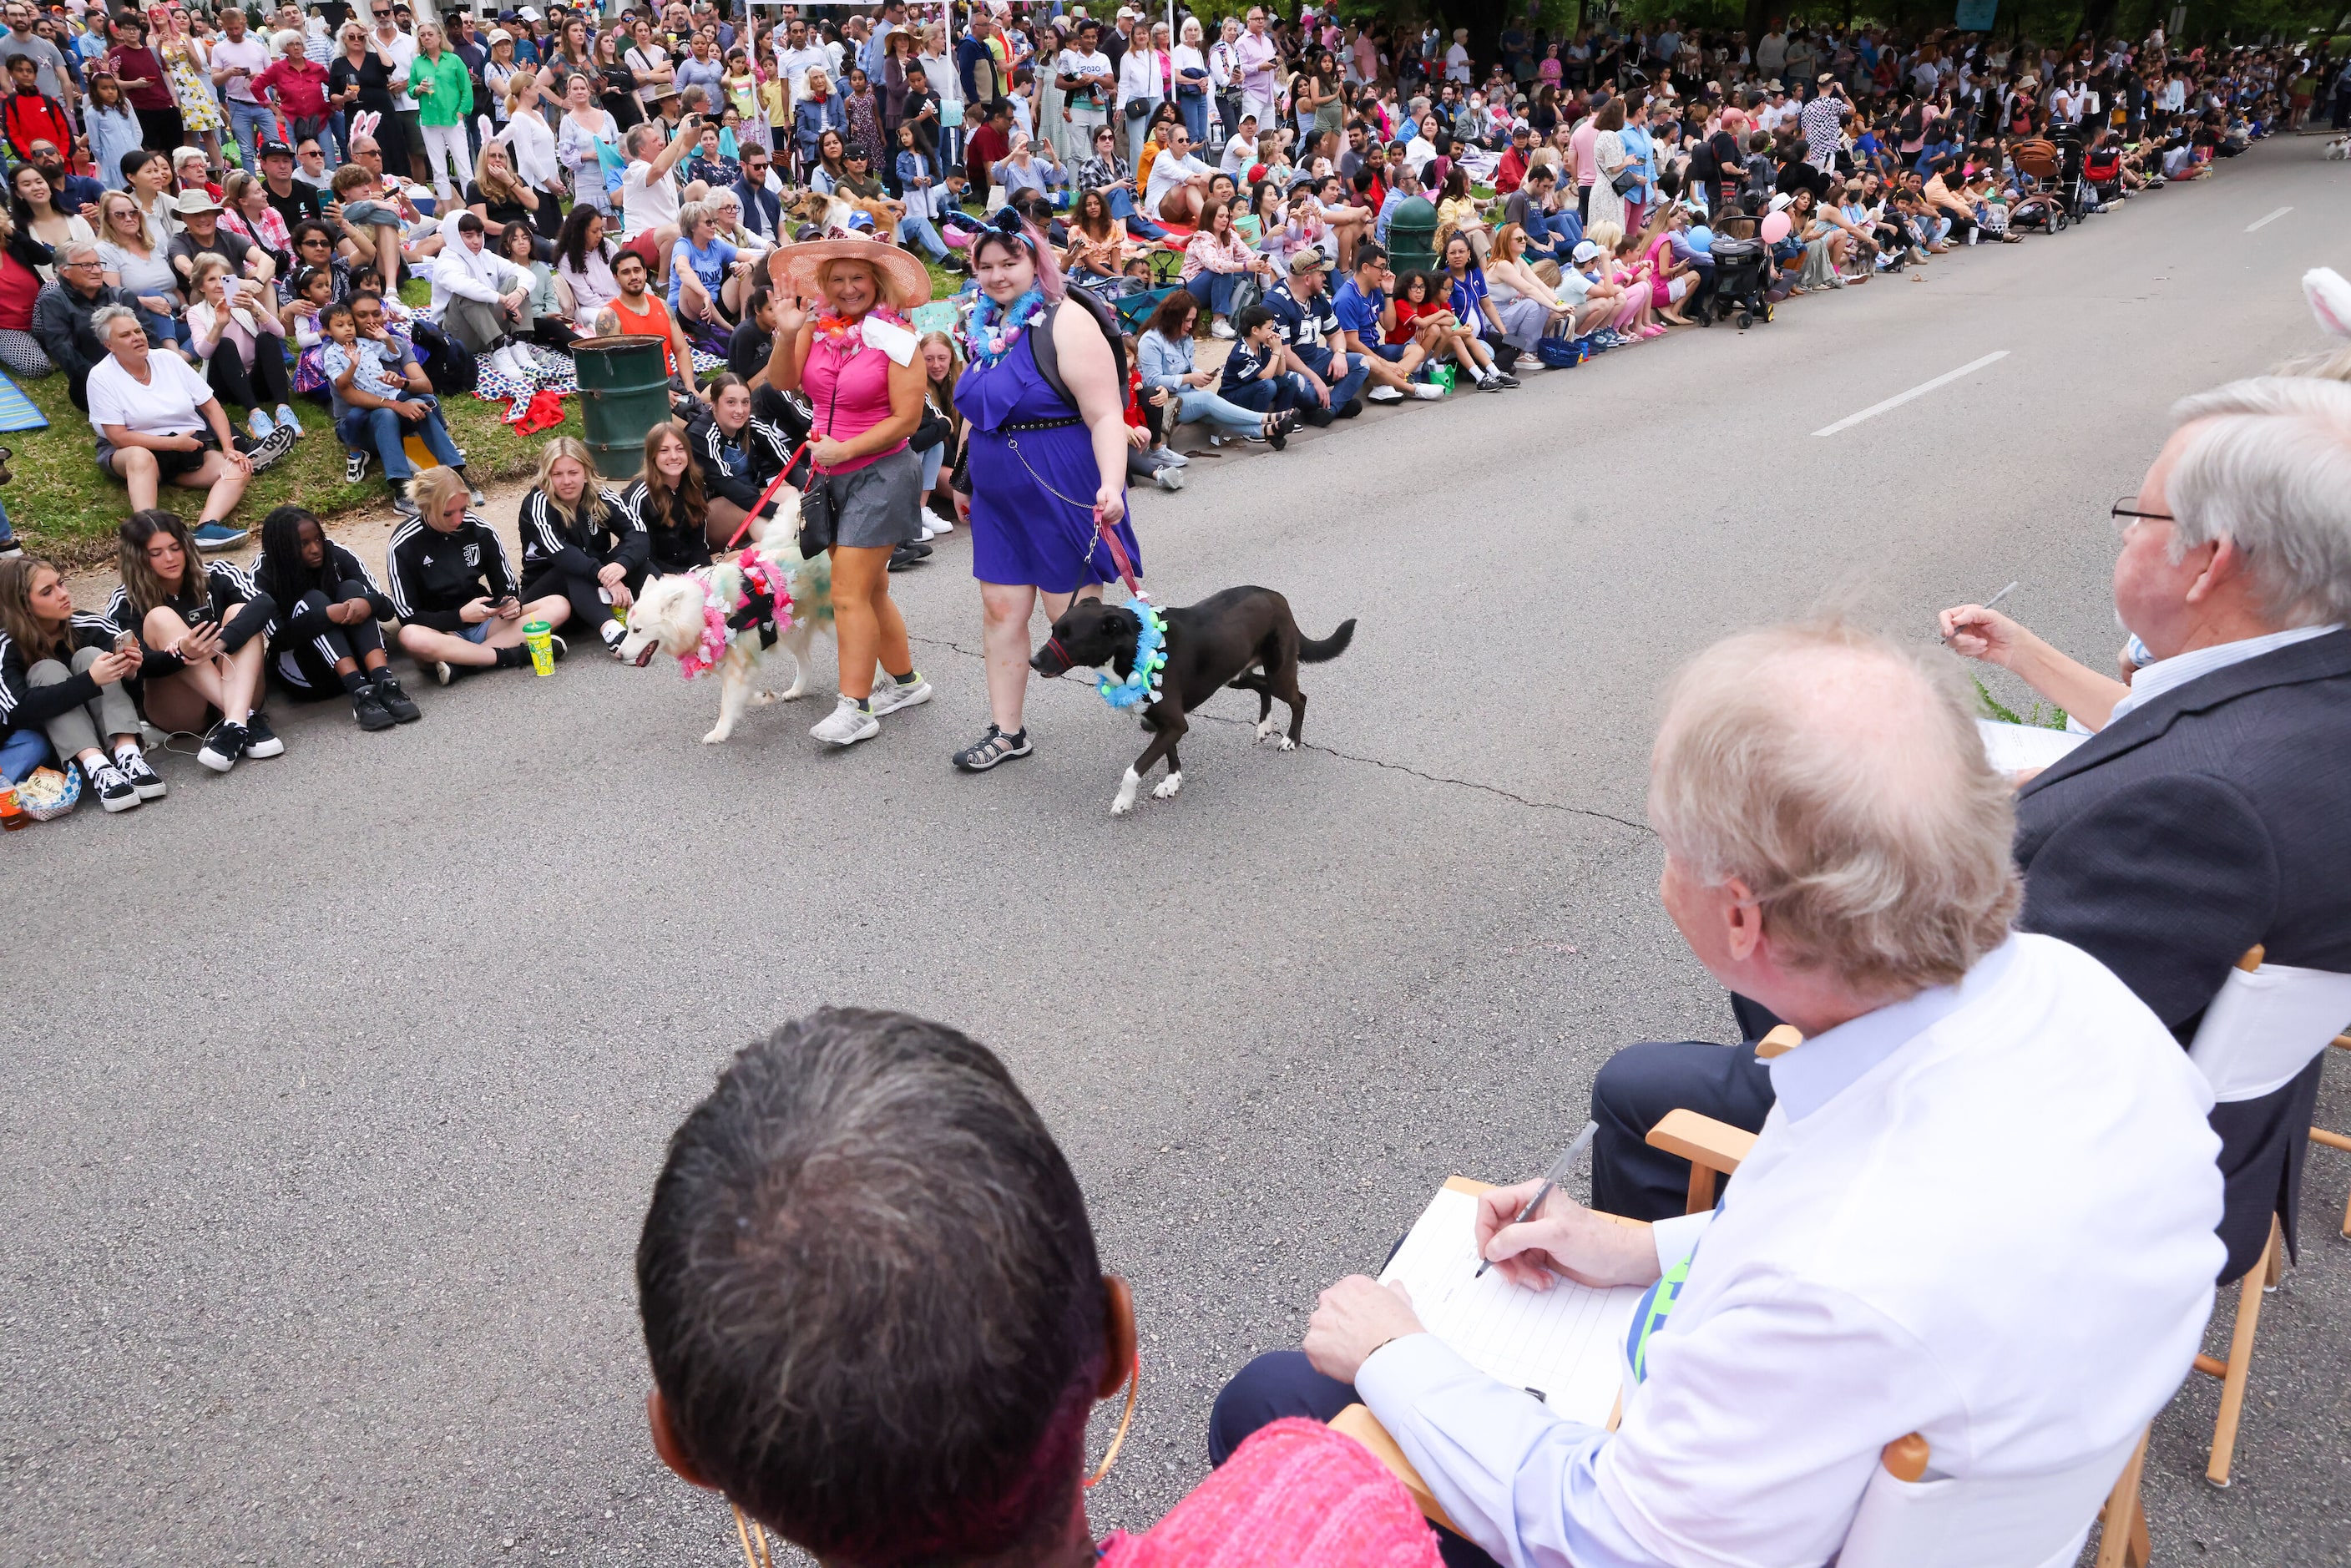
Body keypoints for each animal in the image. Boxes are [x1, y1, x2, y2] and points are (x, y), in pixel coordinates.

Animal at [620, 540, 842, 742]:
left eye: (637, 630)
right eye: (628, 627)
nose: (619, 655)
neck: (701, 612)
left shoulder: (738, 664)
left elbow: (727, 704)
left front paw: (720, 733)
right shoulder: (735, 666)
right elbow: (741, 696)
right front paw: (763, 698)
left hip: (830, 623)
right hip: (791, 633)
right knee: (807, 662)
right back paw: (796, 690)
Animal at [1034, 587, 1363, 822]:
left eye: (1070, 637)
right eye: (1053, 631)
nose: (1033, 661)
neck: (1131, 645)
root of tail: (1277, 597)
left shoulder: (1173, 722)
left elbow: (1134, 769)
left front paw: (1124, 801)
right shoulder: (1167, 723)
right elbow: (1169, 752)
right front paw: (1172, 781)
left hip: (1279, 672)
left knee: (1299, 699)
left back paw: (1291, 739)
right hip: (1234, 674)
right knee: (1262, 688)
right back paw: (1264, 725)